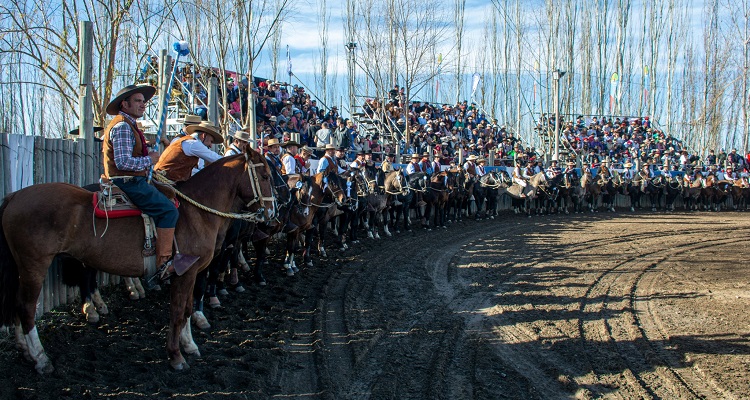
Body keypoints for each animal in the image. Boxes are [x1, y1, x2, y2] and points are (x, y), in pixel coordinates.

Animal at [0, 148, 276, 374]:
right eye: (264, 177)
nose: (272, 213)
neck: (197, 212)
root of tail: (14, 196)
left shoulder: (192, 272)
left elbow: (187, 309)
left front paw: (189, 346)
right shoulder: (184, 272)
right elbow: (178, 311)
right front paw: (176, 357)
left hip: (20, 267)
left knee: (15, 305)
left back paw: (26, 351)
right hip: (34, 265)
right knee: (26, 308)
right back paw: (41, 358)